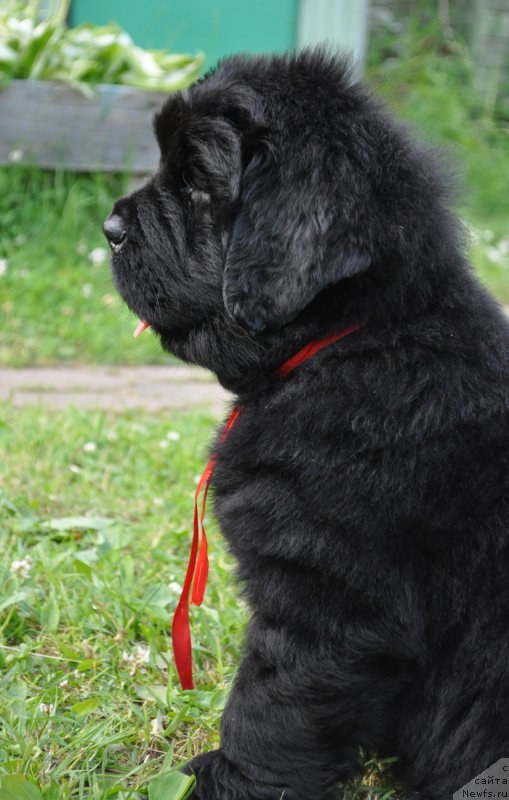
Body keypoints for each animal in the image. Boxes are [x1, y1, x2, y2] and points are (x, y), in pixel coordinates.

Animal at [103, 51, 508, 800]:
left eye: (197, 181)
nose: (109, 230)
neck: (353, 338)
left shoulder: (326, 592)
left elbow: (271, 703)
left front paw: (227, 781)